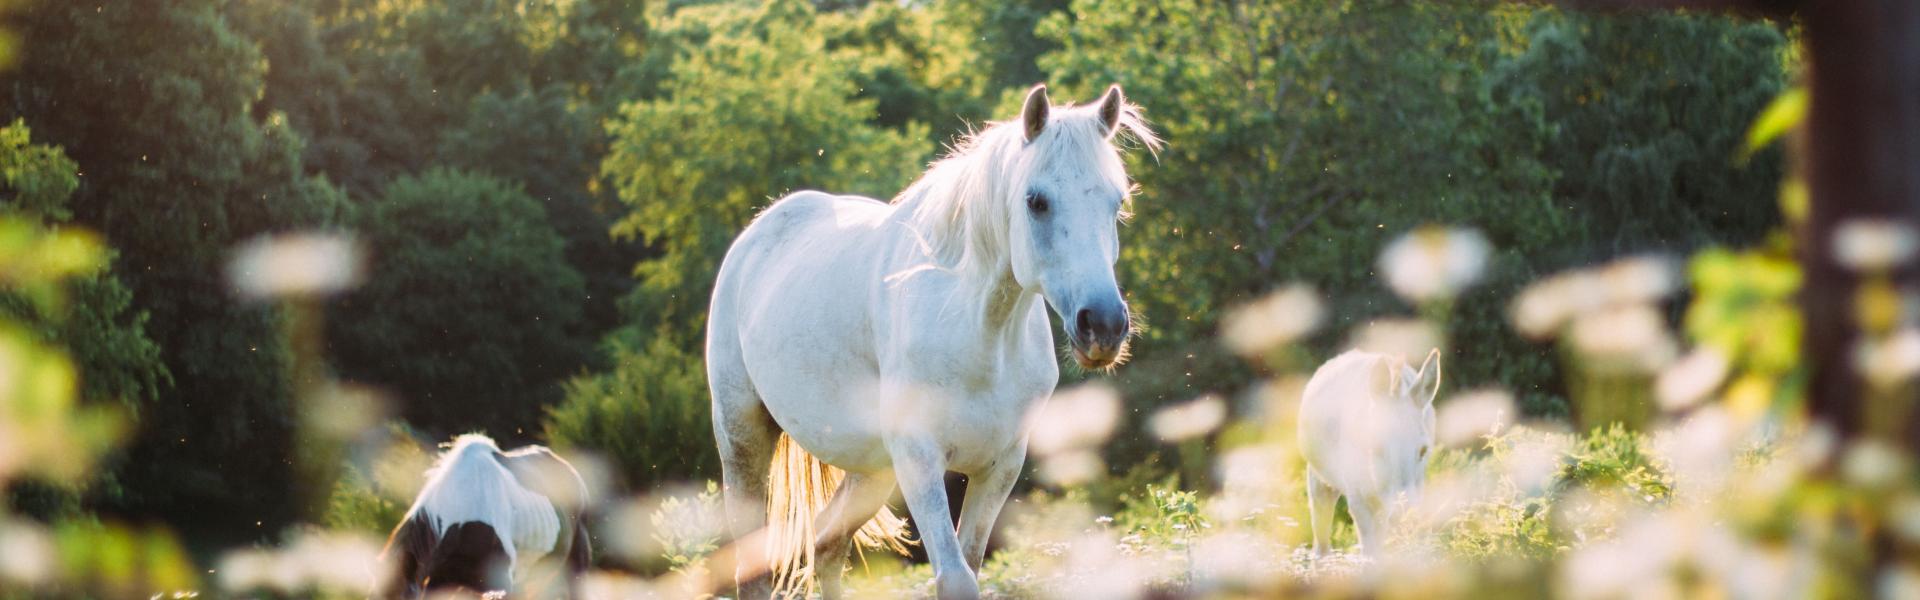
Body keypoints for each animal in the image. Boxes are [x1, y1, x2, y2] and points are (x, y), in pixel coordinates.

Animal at [706, 85, 1152, 600]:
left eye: (1116, 203)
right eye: (1036, 201)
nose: (1103, 325)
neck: (979, 337)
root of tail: (758, 232)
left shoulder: (999, 467)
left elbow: (970, 565)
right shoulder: (920, 461)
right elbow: (956, 579)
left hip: (872, 470)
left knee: (828, 544)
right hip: (743, 438)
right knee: (755, 568)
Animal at [1297, 350, 1436, 553]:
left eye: (1423, 450)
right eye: (1376, 446)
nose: (1404, 517)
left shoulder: (1416, 494)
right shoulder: (1359, 503)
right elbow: (1371, 556)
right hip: (1320, 482)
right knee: (1321, 543)